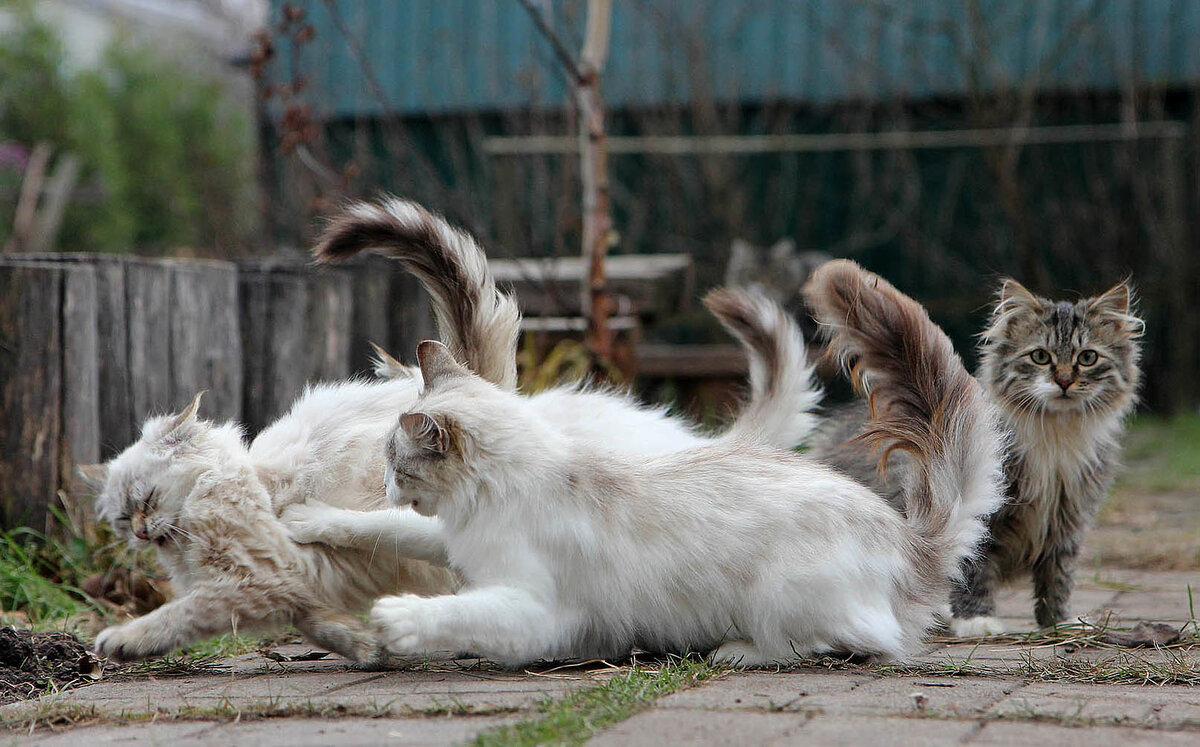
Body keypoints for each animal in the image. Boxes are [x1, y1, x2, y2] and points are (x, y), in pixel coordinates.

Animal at [297, 261, 1003, 667]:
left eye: (395, 461)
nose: (384, 483)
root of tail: (905, 536)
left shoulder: (535, 610)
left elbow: (459, 612)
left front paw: (400, 620)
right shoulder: (454, 541)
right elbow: (383, 529)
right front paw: (309, 519)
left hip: (783, 594)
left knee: (863, 642)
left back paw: (736, 651)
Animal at [811, 278, 1137, 634]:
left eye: (1087, 357)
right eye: (1040, 356)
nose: (1064, 380)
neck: (1054, 435)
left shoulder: (1069, 518)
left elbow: (1058, 577)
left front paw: (1059, 623)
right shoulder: (980, 512)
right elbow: (972, 568)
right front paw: (976, 620)